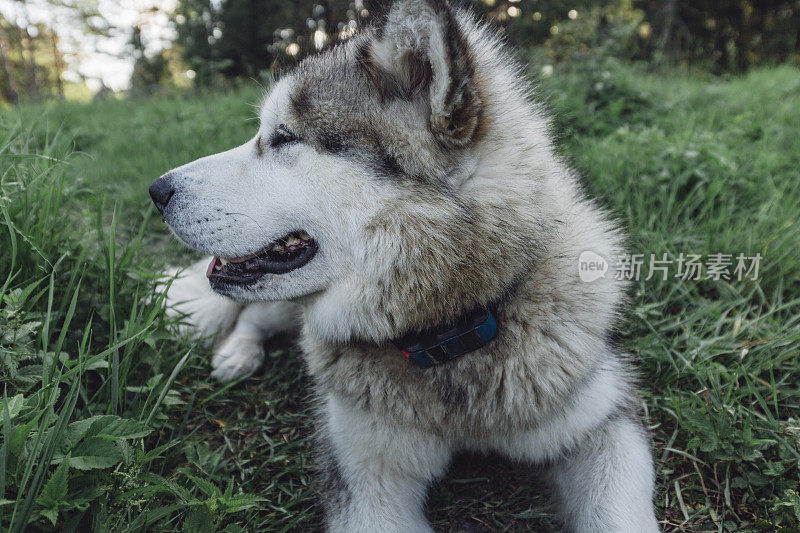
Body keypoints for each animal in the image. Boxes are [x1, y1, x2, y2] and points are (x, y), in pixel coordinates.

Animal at [148, 1, 656, 528]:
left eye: (285, 137)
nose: (157, 191)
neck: (449, 333)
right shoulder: (367, 477)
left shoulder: (604, 423)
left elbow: (619, 513)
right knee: (252, 315)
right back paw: (238, 353)